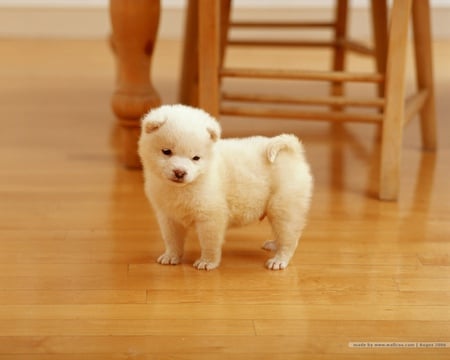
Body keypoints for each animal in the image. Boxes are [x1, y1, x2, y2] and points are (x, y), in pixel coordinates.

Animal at [137, 104, 312, 270]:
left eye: (196, 158)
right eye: (166, 151)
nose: (180, 172)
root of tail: (294, 153)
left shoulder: (210, 217)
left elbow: (209, 243)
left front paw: (207, 262)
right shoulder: (169, 217)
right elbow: (172, 240)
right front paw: (171, 256)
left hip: (283, 208)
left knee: (289, 238)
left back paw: (279, 260)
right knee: (283, 234)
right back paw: (274, 245)